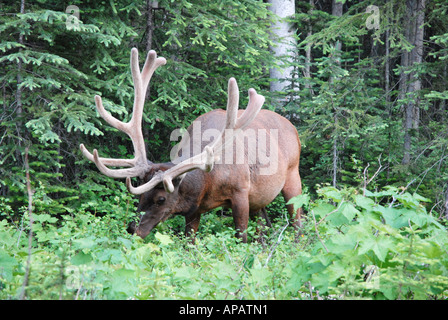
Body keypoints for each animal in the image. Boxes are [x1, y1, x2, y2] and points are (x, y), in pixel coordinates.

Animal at [81, 48, 304, 242]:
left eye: (161, 199)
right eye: (141, 195)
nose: (132, 228)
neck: (210, 181)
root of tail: (292, 126)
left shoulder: (241, 192)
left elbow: (241, 237)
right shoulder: (194, 208)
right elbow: (189, 243)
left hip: (293, 177)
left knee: (298, 223)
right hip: (260, 200)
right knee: (263, 230)